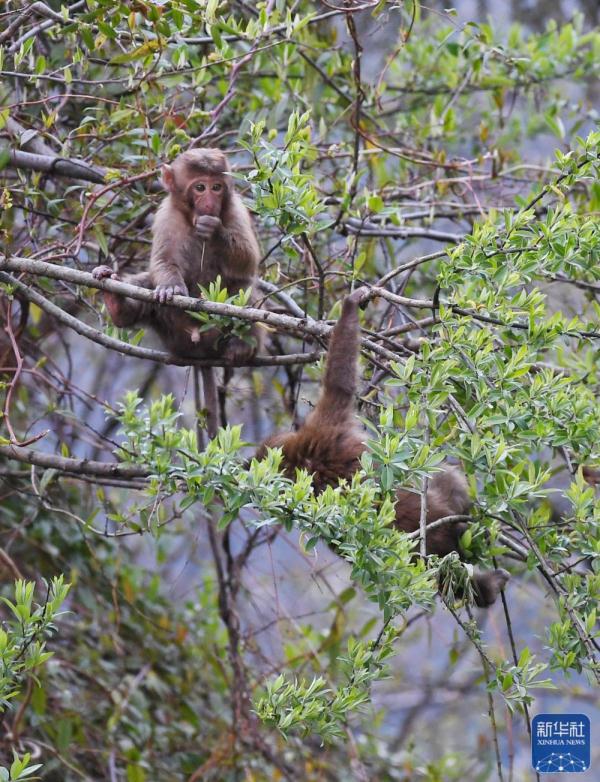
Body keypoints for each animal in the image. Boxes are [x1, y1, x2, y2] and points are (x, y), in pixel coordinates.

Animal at [92, 149, 262, 366]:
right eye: (200, 187)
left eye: (216, 187)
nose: (210, 204)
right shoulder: (167, 216)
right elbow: (163, 261)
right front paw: (170, 288)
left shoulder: (235, 209)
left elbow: (248, 260)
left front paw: (214, 231)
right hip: (174, 334)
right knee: (147, 282)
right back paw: (116, 305)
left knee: (243, 287)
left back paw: (241, 347)